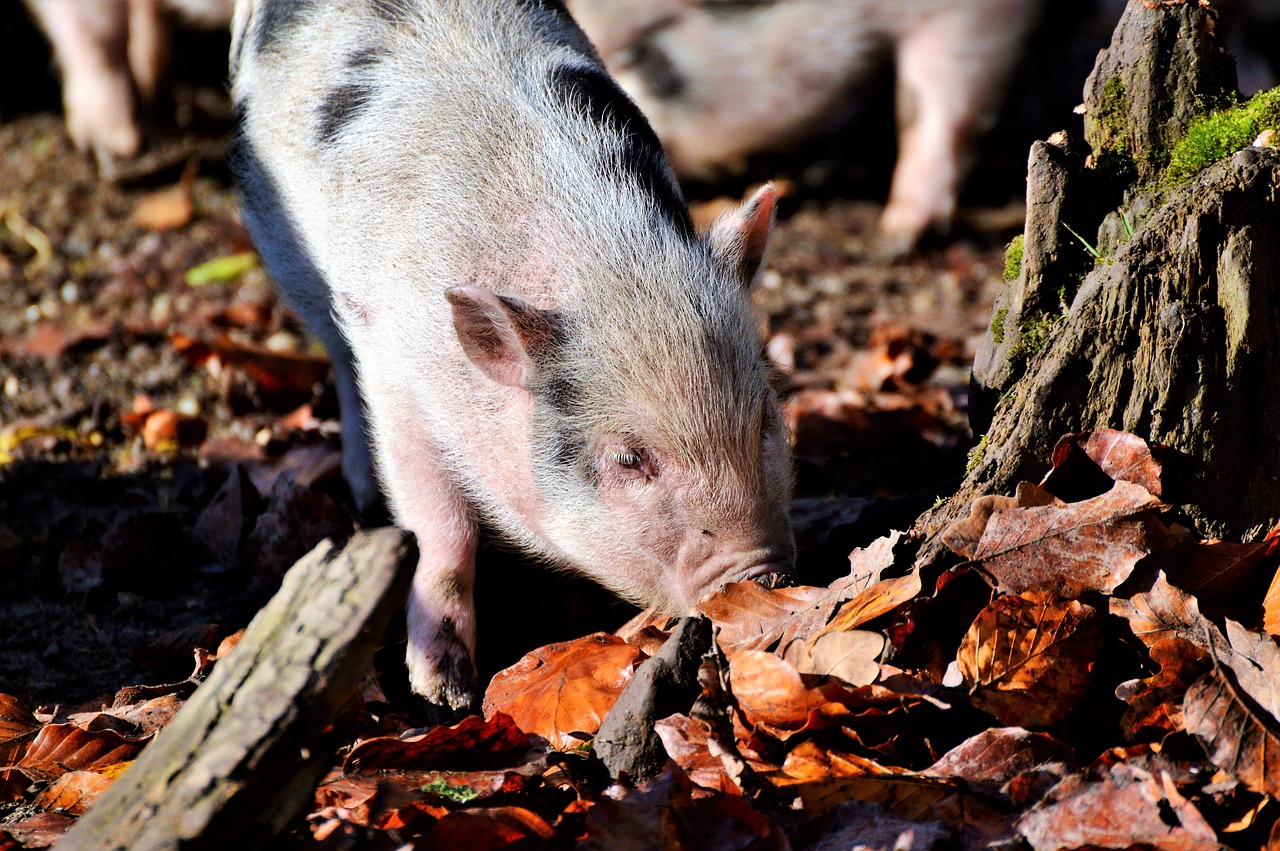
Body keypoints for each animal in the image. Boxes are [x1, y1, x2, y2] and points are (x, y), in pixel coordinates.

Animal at [229, 0, 788, 711]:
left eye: (765, 417)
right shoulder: (397, 377)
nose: (762, 574)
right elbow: (440, 525)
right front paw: (444, 694)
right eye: (628, 459)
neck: (608, 270)